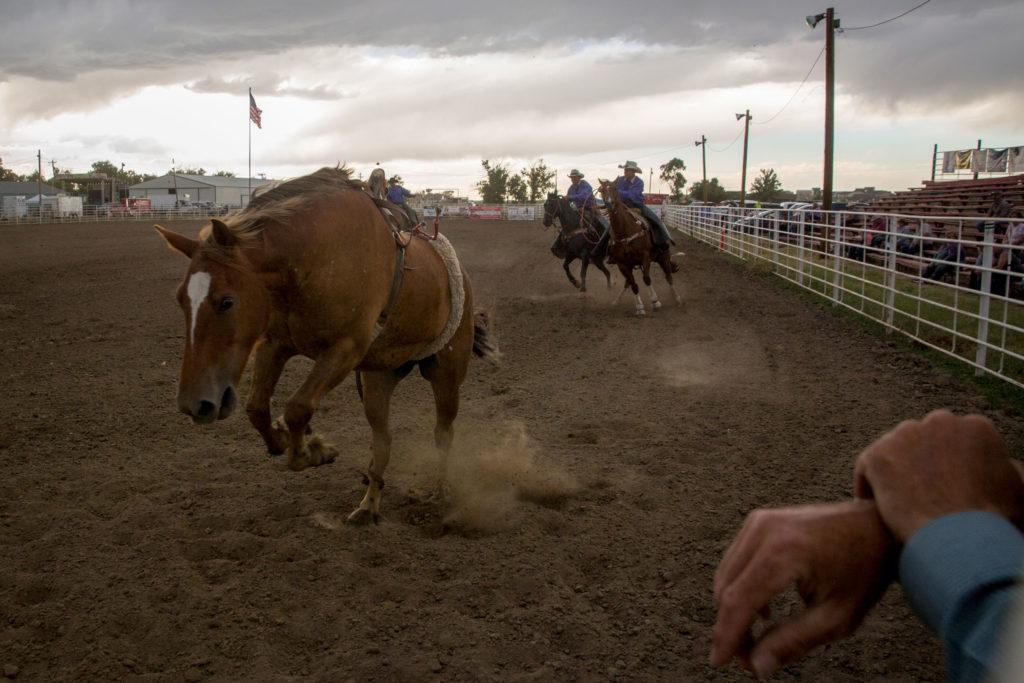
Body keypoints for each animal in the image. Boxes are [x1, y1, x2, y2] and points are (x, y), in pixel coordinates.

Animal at [152, 165, 499, 524]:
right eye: (180, 299)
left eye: (226, 301)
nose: (195, 404)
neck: (314, 256)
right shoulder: (276, 344)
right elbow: (257, 408)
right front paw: (287, 440)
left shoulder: (345, 349)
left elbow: (297, 407)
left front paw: (312, 450)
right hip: (378, 377)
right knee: (383, 440)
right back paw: (368, 505)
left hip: (446, 372)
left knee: (443, 433)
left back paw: (440, 495)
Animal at [598, 178, 684, 313]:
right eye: (602, 190)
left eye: (615, 189)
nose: (610, 204)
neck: (625, 231)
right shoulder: (622, 264)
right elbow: (633, 284)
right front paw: (639, 307)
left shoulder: (645, 257)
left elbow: (646, 279)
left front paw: (655, 301)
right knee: (628, 283)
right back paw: (617, 301)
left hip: (663, 256)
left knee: (668, 276)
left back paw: (677, 298)